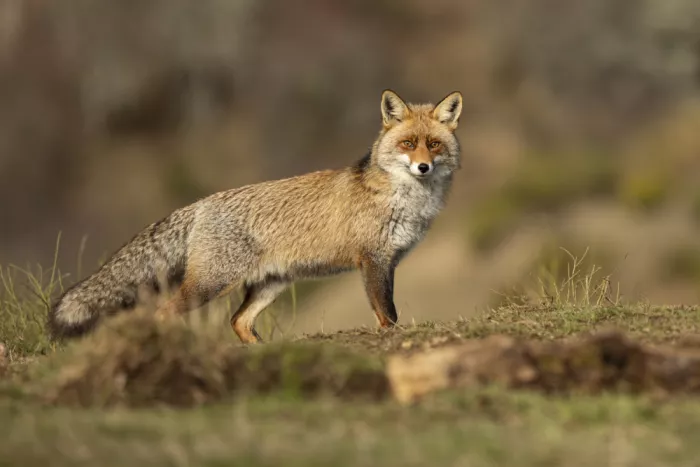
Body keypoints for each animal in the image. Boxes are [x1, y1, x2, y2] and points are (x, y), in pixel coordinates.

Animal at [47, 89, 463, 344]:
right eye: (408, 144)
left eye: (434, 145)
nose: (423, 167)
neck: (405, 201)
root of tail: (201, 204)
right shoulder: (373, 260)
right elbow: (386, 312)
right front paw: (390, 336)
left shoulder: (389, 260)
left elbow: (389, 307)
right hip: (211, 284)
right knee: (166, 312)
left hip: (269, 285)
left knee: (238, 321)